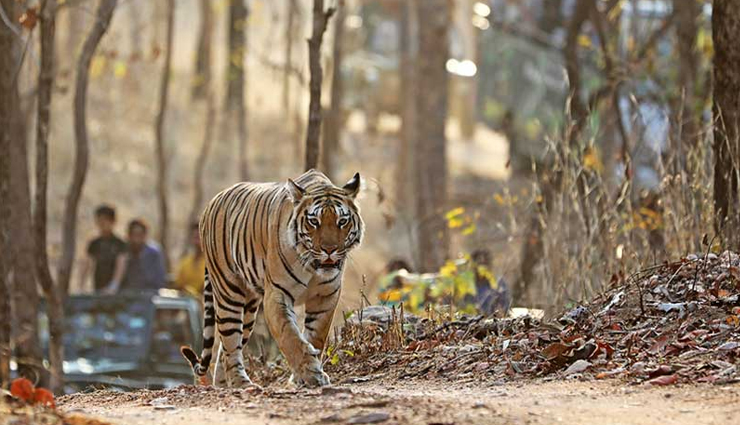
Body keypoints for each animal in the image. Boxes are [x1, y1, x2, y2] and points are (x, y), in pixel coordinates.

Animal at [181, 169, 364, 388]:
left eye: (342, 221)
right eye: (314, 221)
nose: (329, 250)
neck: (313, 266)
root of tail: (211, 203)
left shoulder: (325, 297)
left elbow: (315, 336)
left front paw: (304, 375)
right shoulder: (277, 293)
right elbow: (289, 336)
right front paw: (310, 373)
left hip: (249, 307)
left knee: (225, 349)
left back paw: (224, 384)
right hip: (229, 292)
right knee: (230, 342)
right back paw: (241, 383)